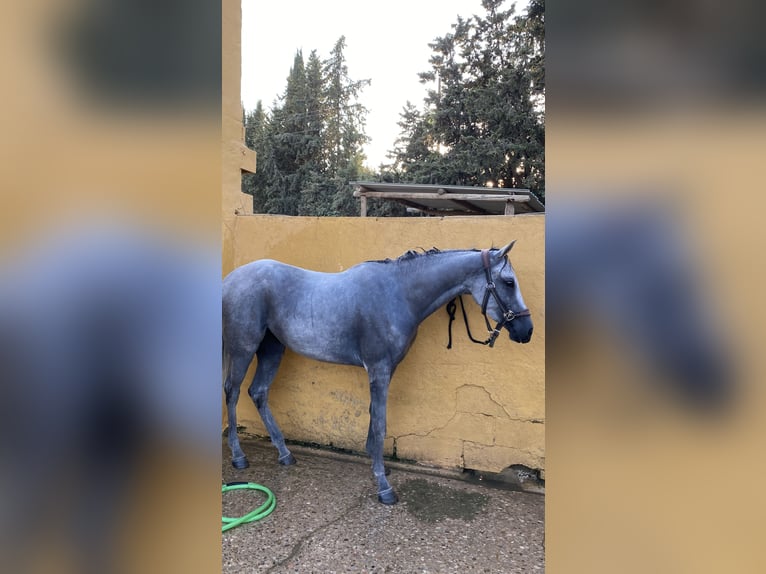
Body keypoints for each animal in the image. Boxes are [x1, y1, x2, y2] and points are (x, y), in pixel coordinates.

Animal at [222, 241, 533, 504]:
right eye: (508, 282)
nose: (526, 331)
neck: (398, 294)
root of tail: (230, 280)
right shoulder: (379, 369)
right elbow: (381, 424)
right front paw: (384, 486)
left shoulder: (384, 370)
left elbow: (374, 418)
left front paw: (377, 466)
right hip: (244, 348)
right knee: (232, 392)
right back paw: (238, 457)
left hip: (272, 349)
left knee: (258, 392)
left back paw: (285, 454)